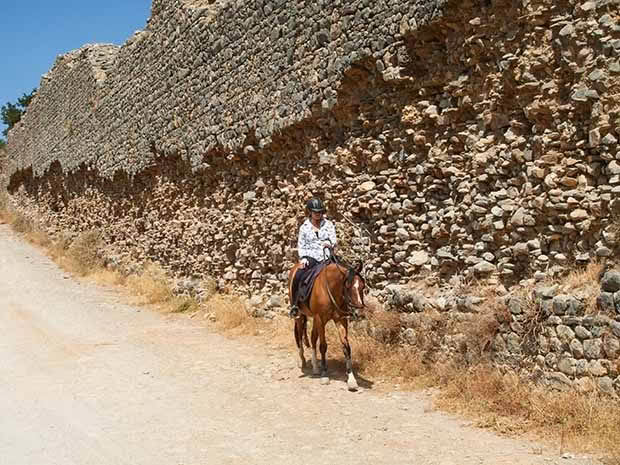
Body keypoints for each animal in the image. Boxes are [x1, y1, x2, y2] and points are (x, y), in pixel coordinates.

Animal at [288, 252, 366, 390]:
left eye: (362, 286)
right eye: (348, 286)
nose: (359, 313)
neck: (330, 288)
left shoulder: (340, 320)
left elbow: (346, 347)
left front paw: (351, 379)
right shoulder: (321, 318)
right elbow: (323, 346)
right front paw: (324, 375)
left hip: (315, 319)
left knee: (313, 338)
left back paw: (315, 367)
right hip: (300, 315)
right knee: (300, 335)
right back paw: (302, 360)